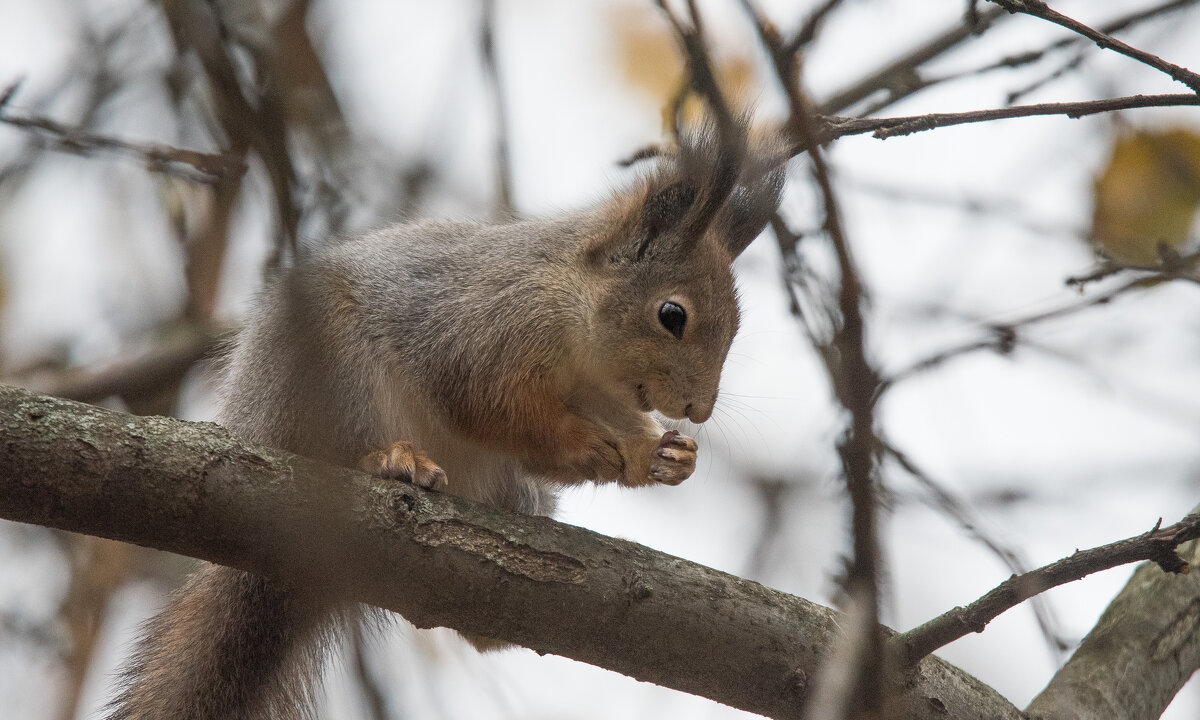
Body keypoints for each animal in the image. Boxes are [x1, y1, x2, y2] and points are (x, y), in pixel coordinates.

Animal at [105, 126, 787, 720]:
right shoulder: (483, 333)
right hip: (330, 377)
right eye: (672, 315)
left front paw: (664, 456)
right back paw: (391, 462)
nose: (699, 410)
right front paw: (588, 446)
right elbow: (496, 408)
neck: (577, 323)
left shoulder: (601, 390)